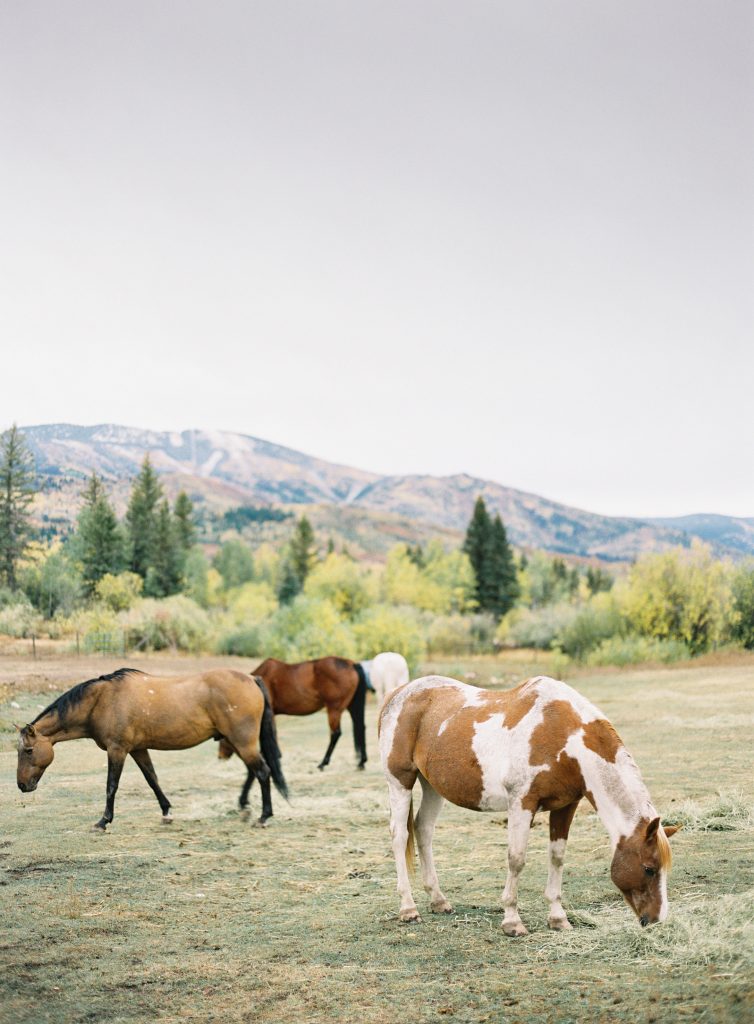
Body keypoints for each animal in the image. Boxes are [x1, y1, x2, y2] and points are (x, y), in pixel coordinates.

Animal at [18, 663, 288, 831]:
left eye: (28, 751)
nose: (22, 786)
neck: (103, 701)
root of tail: (251, 678)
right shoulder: (138, 749)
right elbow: (152, 779)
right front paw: (167, 812)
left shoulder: (117, 750)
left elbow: (111, 786)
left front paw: (103, 821)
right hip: (237, 742)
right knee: (255, 772)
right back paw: (246, 808)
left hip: (242, 741)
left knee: (262, 772)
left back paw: (263, 816)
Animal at [379, 675, 680, 933]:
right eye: (649, 869)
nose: (656, 919)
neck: (563, 740)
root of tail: (399, 693)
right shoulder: (521, 804)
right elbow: (516, 859)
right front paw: (512, 921)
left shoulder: (565, 807)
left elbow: (557, 858)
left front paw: (558, 918)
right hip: (400, 782)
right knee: (400, 836)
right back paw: (408, 908)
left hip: (432, 786)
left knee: (423, 830)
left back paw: (438, 900)